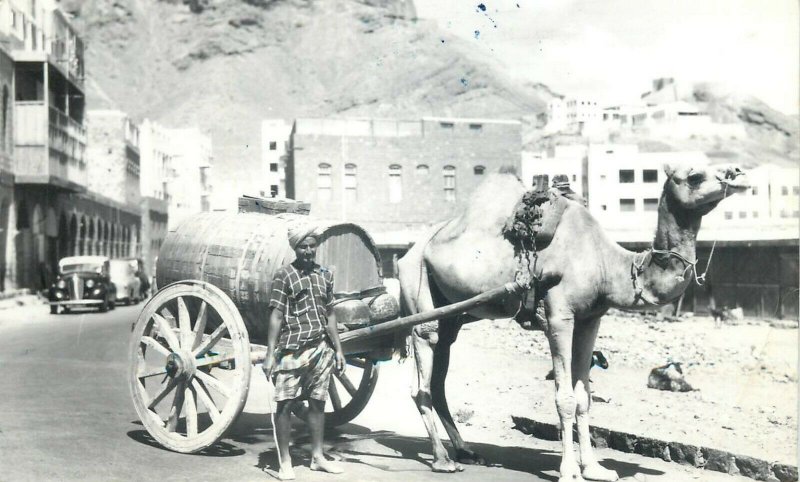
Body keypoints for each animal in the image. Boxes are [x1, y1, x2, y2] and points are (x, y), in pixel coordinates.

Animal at [396, 164, 748, 480]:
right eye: (695, 176)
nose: (738, 174)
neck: (608, 264)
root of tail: (406, 254)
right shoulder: (559, 316)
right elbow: (564, 398)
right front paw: (569, 471)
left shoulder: (590, 320)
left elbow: (584, 399)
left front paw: (595, 468)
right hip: (419, 291)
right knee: (421, 374)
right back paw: (442, 459)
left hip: (453, 316)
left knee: (438, 378)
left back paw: (466, 451)